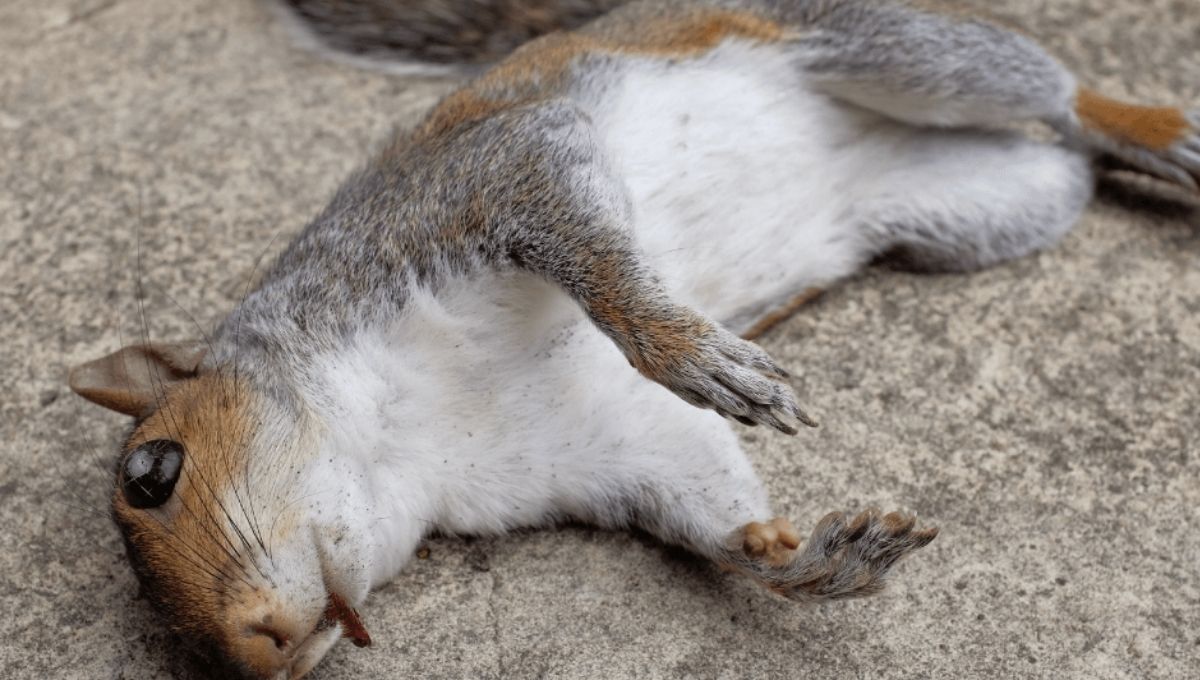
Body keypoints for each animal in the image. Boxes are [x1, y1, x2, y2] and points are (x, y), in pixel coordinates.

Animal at [68, 0, 1198, 678]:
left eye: (151, 471)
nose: (257, 655)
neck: (398, 435)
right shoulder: (596, 441)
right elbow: (700, 490)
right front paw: (800, 559)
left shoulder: (479, 184)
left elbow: (589, 248)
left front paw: (690, 352)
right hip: (982, 204)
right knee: (1067, 161)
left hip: (894, 52)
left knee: (1057, 95)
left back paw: (1157, 129)